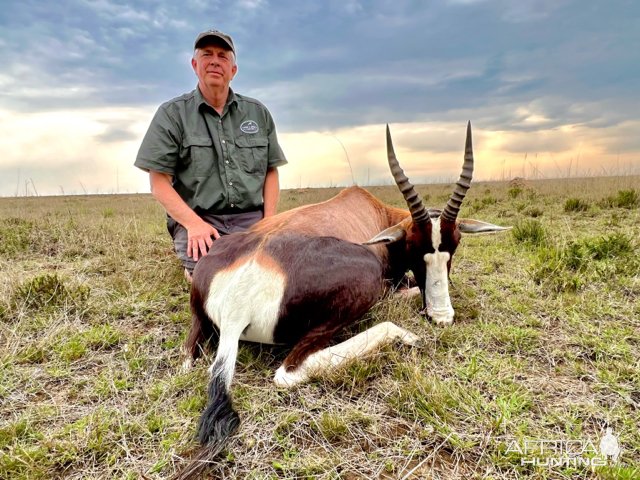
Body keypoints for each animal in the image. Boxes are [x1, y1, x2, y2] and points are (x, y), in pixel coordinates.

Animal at [172, 122, 508, 478]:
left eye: (453, 247)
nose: (441, 316)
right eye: (415, 249)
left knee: (187, 360)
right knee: (289, 371)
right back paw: (405, 336)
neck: (370, 208)